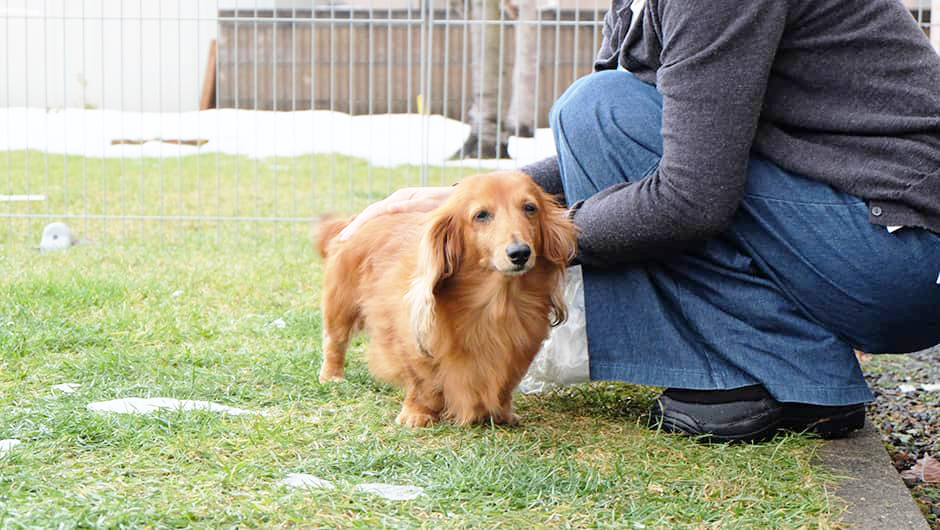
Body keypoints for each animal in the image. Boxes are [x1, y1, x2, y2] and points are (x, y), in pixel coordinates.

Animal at [320, 171, 576, 426]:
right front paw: (417, 414)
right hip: (341, 305)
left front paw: (503, 413)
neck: (494, 302)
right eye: (481, 215)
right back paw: (331, 376)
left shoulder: (518, 348)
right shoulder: (411, 342)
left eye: (530, 208)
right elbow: (424, 382)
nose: (520, 253)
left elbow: (505, 383)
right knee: (335, 342)